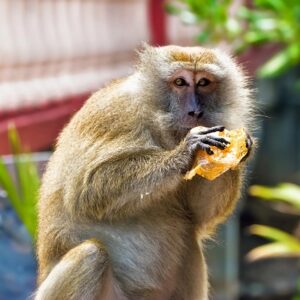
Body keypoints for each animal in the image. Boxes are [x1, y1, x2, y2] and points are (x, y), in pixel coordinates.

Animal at [35, 44, 253, 300]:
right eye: (180, 82)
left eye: (203, 83)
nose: (195, 111)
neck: (154, 118)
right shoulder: (118, 116)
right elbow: (86, 190)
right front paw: (185, 152)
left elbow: (198, 216)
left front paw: (238, 149)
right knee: (89, 255)